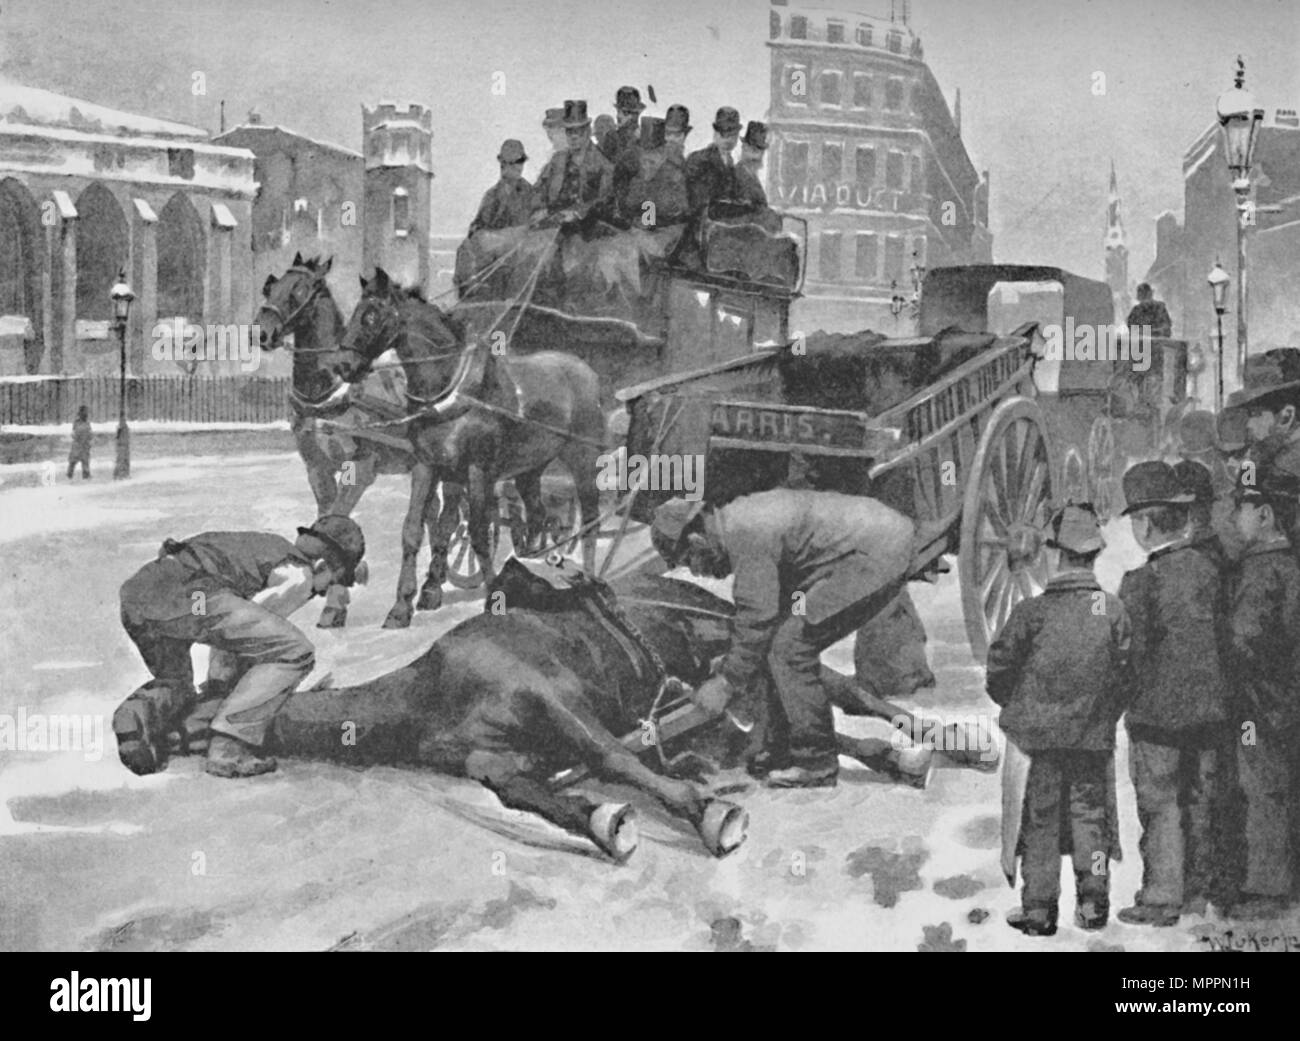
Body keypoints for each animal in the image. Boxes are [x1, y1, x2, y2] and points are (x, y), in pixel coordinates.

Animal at [122, 561, 993, 862]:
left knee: (847, 691)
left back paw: (956, 738)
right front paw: (607, 821)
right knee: (816, 729)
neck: (428, 690)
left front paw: (710, 815)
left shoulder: (557, 701)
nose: (131, 744)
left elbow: (616, 754)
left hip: (732, 642)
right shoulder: (493, 757)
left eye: (182, 705)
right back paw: (902, 756)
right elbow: (526, 791)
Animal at [330, 267, 603, 626]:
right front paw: (402, 606)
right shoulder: (428, 466)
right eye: (355, 313)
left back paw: (589, 576)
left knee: (590, 521)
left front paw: (495, 595)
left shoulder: (478, 471)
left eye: (372, 316)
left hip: (583, 460)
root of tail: (583, 369)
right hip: (530, 469)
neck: (450, 389)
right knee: (536, 516)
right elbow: (415, 530)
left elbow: (477, 532)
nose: (342, 366)